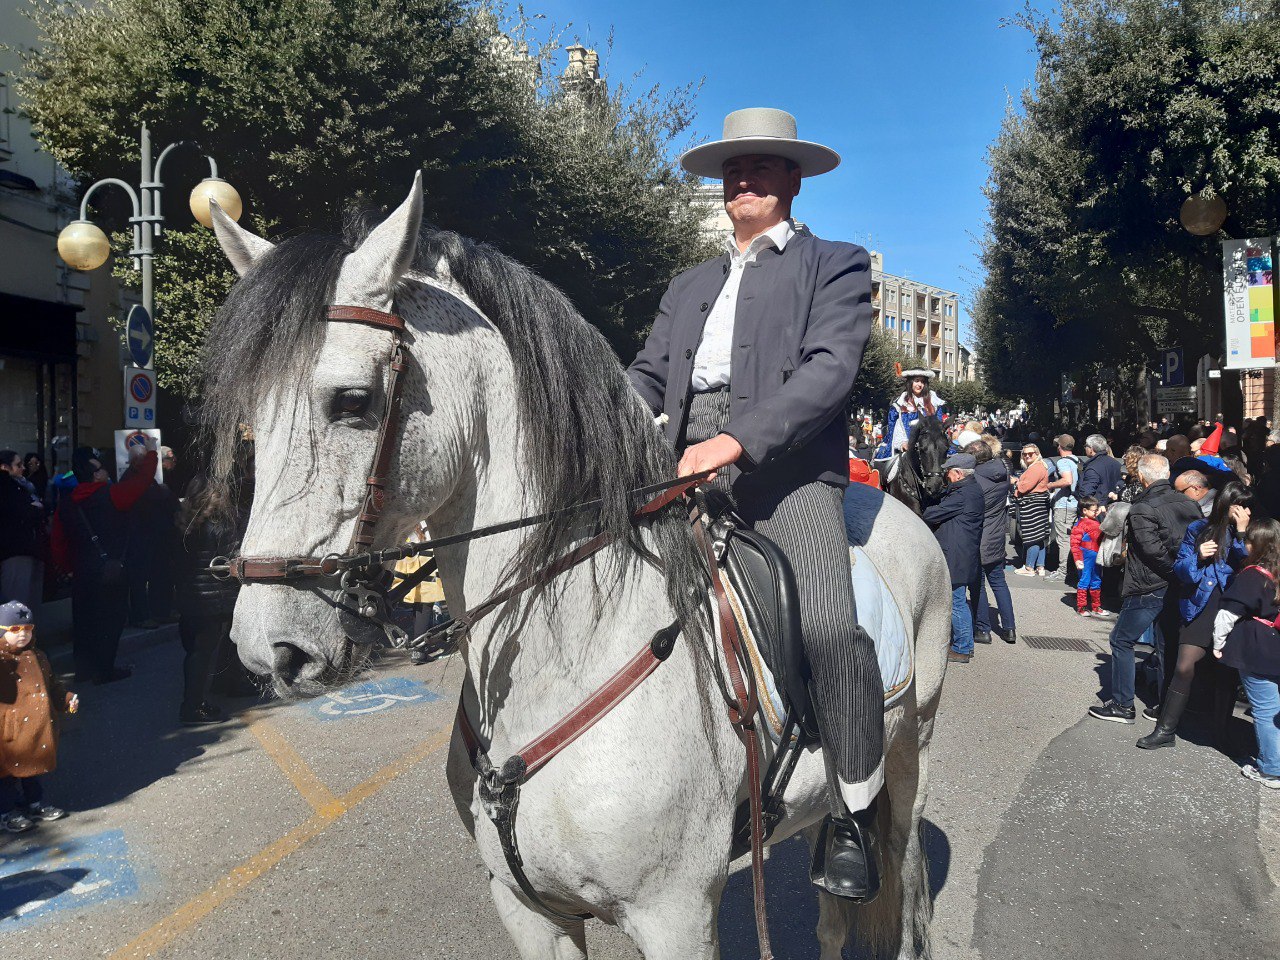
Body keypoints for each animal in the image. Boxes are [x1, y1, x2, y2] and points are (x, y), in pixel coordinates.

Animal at [207, 180, 952, 960]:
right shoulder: (528, 909)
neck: (571, 648)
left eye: (352, 401)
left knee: (900, 867)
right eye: (251, 415)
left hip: (913, 750)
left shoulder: (676, 915)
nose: (269, 648)